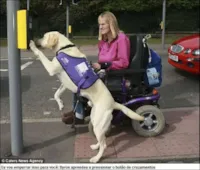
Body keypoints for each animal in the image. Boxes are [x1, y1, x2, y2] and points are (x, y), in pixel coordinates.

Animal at [28, 31, 145, 163]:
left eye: (44, 36)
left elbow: (40, 54)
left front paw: (32, 46)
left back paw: (96, 158)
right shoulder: (64, 83)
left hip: (98, 123)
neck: (64, 47)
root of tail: (113, 103)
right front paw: (60, 104)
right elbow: (56, 93)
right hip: (96, 121)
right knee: (102, 139)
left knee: (104, 144)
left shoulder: (51, 68)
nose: (36, 40)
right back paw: (95, 146)